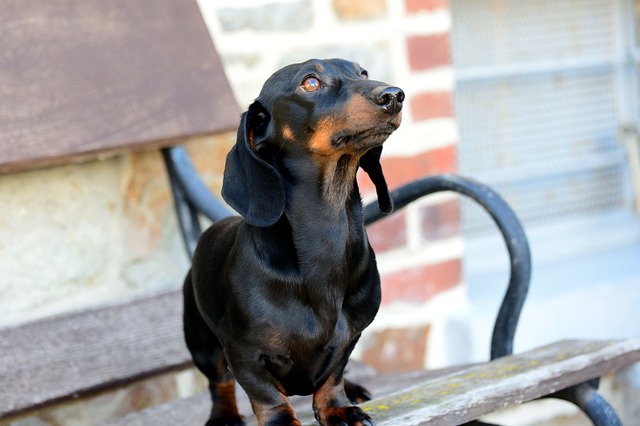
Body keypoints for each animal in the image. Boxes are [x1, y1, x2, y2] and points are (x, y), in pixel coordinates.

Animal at [185, 57, 402, 426]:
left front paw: (339, 408)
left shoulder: (350, 337)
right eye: (310, 83)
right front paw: (281, 421)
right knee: (219, 382)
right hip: (202, 342)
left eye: (363, 73)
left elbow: (333, 376)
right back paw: (224, 414)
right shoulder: (243, 353)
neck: (326, 229)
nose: (394, 95)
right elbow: (265, 394)